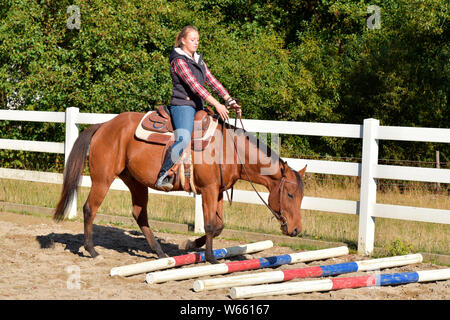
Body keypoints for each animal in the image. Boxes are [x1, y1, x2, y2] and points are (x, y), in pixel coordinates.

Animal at [52, 111, 306, 264]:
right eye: (290, 194)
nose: (295, 230)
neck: (230, 150)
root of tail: (103, 125)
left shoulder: (219, 191)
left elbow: (219, 226)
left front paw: (190, 244)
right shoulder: (209, 190)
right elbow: (211, 225)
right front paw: (211, 257)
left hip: (135, 181)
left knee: (139, 213)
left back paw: (159, 252)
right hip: (103, 179)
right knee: (89, 208)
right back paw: (92, 250)